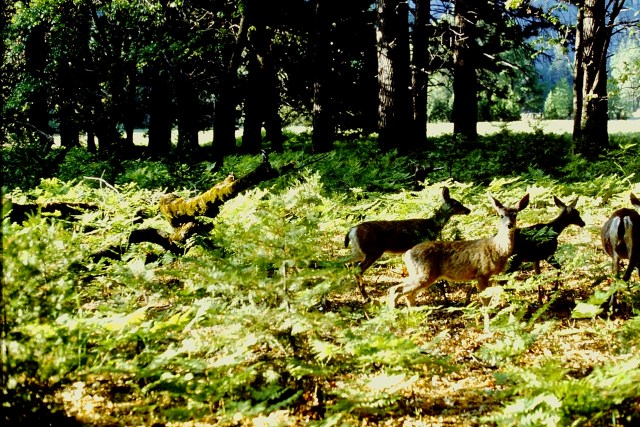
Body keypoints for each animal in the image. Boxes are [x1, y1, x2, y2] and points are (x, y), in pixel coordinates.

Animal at [387, 193, 529, 330]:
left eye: (515, 214)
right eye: (501, 215)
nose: (509, 225)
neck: (497, 248)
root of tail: (407, 254)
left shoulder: (493, 276)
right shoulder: (482, 273)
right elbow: (485, 301)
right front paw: (487, 328)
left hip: (419, 273)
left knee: (408, 294)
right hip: (424, 273)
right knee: (396, 289)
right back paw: (393, 322)